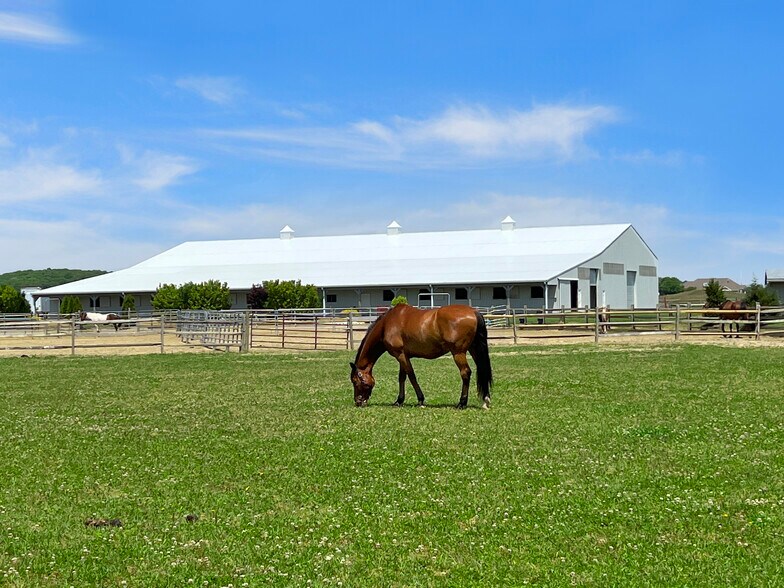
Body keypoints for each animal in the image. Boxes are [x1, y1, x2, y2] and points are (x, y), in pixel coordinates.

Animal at [349, 304, 493, 409]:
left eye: (355, 381)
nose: (358, 402)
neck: (386, 324)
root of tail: (473, 312)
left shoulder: (400, 355)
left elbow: (411, 376)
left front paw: (420, 400)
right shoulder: (403, 355)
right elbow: (402, 377)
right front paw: (399, 401)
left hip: (458, 352)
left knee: (465, 373)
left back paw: (462, 403)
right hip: (474, 350)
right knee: (482, 369)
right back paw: (485, 400)